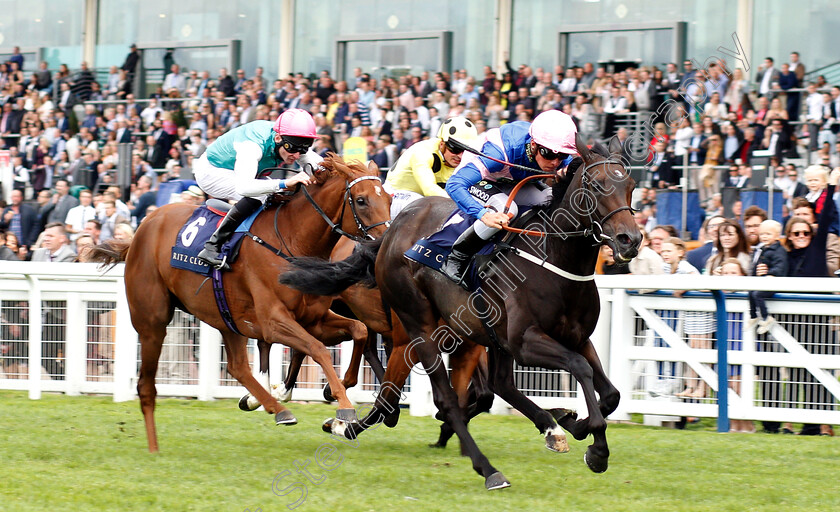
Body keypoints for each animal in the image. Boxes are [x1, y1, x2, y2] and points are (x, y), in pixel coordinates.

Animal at [90, 155, 392, 452]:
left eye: (389, 198)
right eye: (361, 200)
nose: (383, 246)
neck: (292, 240)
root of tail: (140, 229)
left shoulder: (313, 319)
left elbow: (358, 331)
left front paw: (339, 388)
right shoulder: (273, 322)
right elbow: (318, 349)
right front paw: (344, 407)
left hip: (226, 316)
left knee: (237, 367)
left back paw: (273, 406)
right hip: (152, 320)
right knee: (146, 384)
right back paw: (154, 448)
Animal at [282, 135, 644, 488]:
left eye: (630, 184)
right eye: (595, 185)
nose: (630, 239)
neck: (552, 260)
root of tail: (390, 234)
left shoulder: (574, 338)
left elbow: (610, 393)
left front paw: (578, 426)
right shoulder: (525, 342)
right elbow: (580, 368)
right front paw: (594, 445)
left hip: (485, 338)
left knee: (497, 384)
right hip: (419, 327)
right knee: (442, 397)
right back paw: (489, 470)